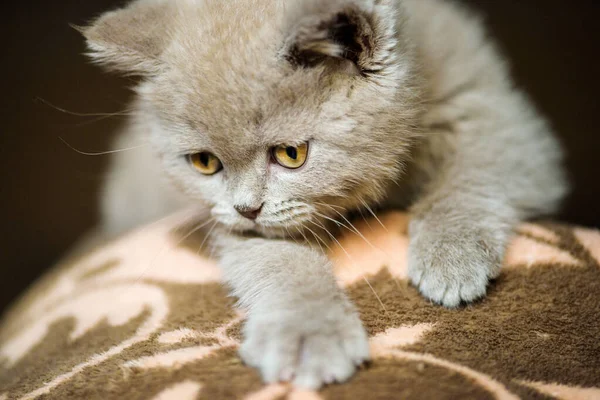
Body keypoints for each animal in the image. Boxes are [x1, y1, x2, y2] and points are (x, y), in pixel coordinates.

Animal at [83, 0, 568, 390]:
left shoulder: (498, 118)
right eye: (204, 163)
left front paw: (452, 254)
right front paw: (307, 333)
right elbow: (276, 261)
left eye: (291, 154)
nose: (247, 208)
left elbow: (474, 172)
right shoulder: (230, 222)